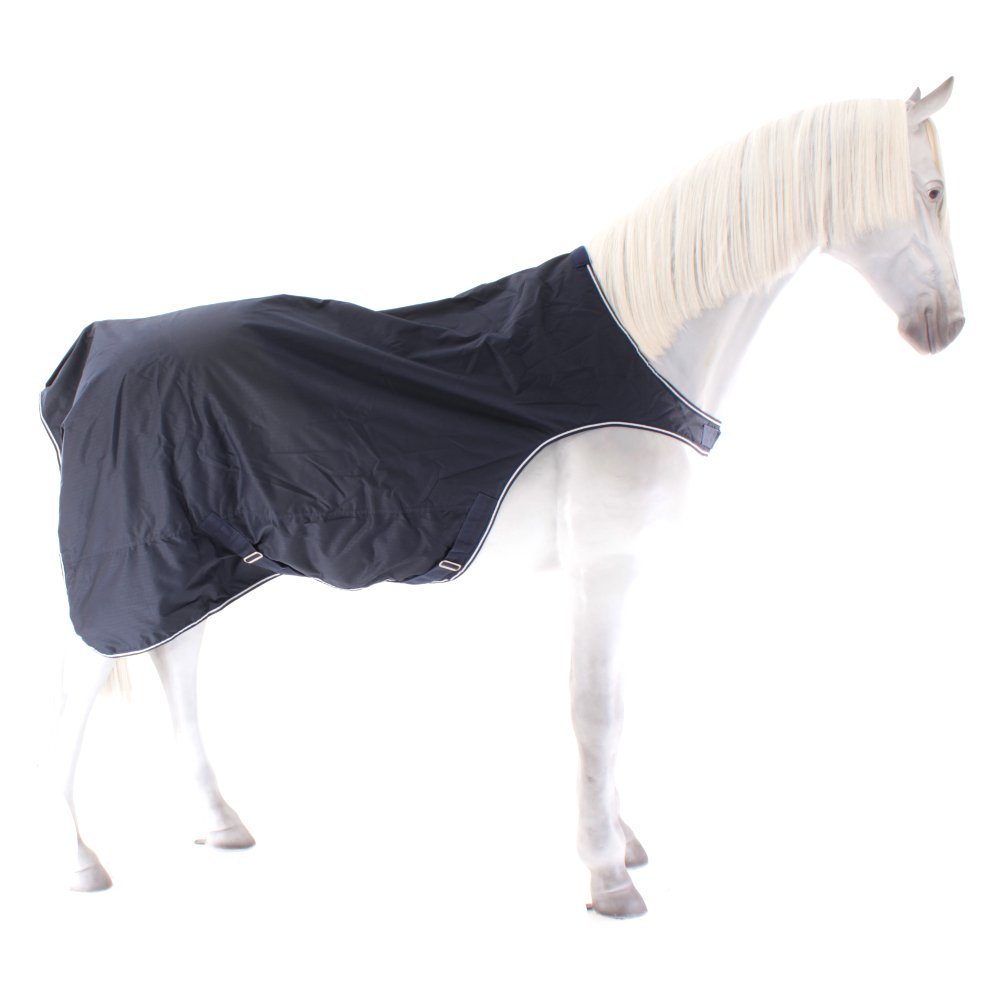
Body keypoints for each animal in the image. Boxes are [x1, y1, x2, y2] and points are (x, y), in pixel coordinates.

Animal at [45, 78, 964, 918]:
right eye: (932, 190)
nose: (947, 328)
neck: (638, 351)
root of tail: (90, 359)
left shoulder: (618, 575)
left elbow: (617, 706)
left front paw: (621, 840)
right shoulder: (603, 569)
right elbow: (596, 713)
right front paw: (607, 876)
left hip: (198, 570)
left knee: (178, 670)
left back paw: (219, 823)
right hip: (126, 578)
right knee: (77, 694)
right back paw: (82, 864)